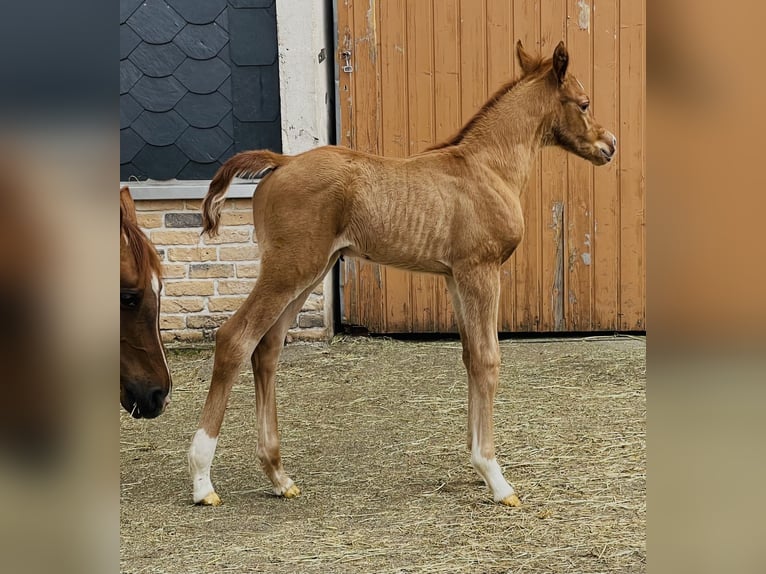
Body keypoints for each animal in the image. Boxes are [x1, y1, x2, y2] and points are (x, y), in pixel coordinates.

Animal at [189, 41, 616, 508]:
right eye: (584, 102)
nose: (610, 144)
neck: (487, 168)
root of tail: (280, 163)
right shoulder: (481, 271)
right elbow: (488, 360)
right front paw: (496, 477)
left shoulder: (454, 277)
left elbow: (470, 357)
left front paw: (477, 465)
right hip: (290, 268)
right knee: (235, 338)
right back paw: (202, 480)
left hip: (308, 274)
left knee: (267, 350)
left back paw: (279, 477)